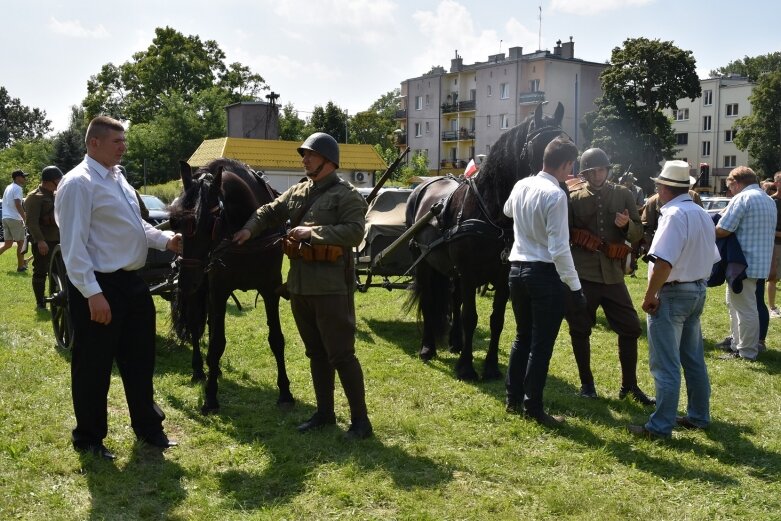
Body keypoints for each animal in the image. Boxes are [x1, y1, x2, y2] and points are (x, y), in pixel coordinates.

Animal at [169, 158, 294, 414]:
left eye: (210, 223)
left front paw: (285, 392)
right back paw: (199, 369)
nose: (187, 279)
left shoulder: (271, 289)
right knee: (195, 326)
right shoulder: (218, 290)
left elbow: (276, 339)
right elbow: (216, 343)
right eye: (177, 221)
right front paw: (210, 397)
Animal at [406, 100, 564, 378]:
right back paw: (428, 348)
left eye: (571, 149)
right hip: (424, 263)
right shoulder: (469, 273)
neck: (492, 213)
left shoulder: (503, 278)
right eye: (541, 149)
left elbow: (496, 320)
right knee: (428, 301)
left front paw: (489, 367)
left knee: (454, 299)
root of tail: (422, 187)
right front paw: (467, 368)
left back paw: (456, 342)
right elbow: (470, 317)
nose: (563, 191)